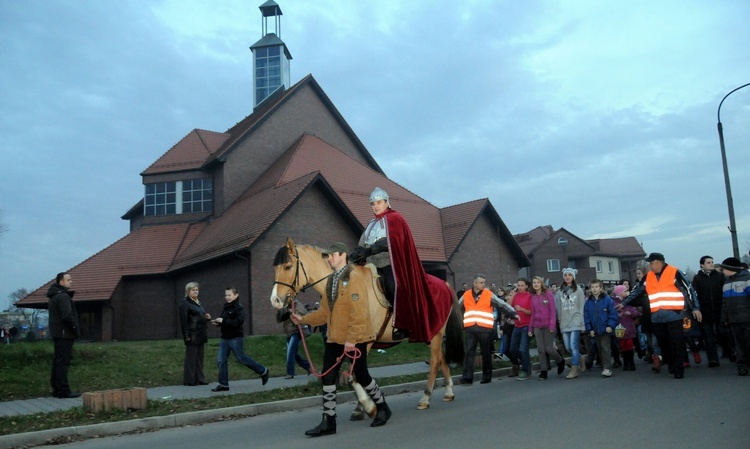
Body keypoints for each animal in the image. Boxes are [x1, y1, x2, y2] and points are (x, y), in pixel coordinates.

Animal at [270, 236, 464, 412]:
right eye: (275, 268)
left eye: (288, 266)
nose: (276, 301)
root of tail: (444, 284)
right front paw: (362, 407)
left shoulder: (366, 341)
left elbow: (355, 374)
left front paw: (368, 405)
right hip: (431, 333)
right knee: (441, 357)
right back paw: (448, 391)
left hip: (436, 333)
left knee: (434, 361)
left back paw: (425, 398)